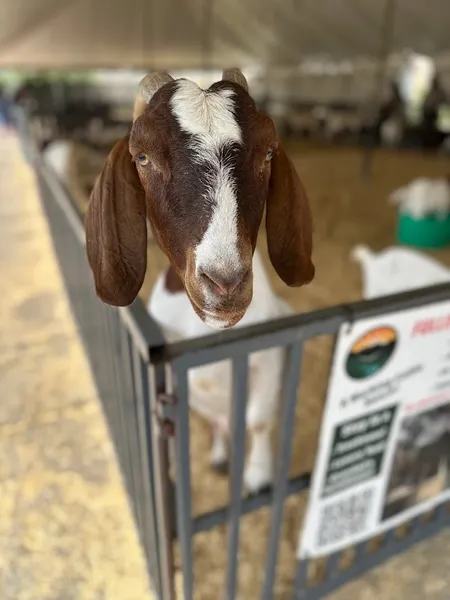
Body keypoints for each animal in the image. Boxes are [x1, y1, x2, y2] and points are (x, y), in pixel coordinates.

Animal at [85, 69, 316, 492]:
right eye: (142, 157)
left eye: (269, 153)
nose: (225, 282)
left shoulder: (268, 359)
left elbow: (259, 421)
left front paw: (258, 476)